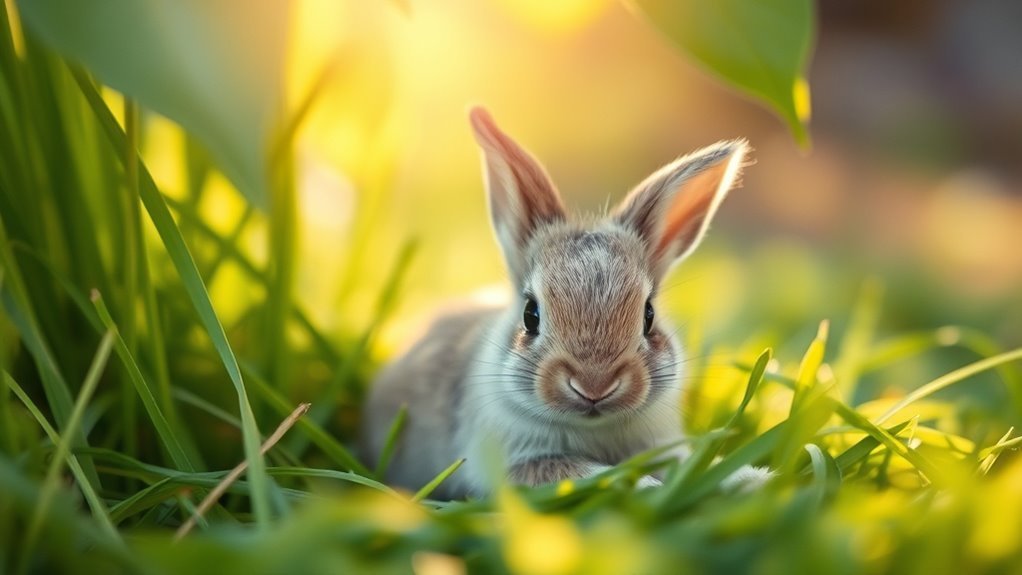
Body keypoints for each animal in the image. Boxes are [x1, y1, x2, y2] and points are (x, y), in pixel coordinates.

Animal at [362, 106, 767, 499]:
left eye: (649, 315)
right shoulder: (521, 462)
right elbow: (584, 472)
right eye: (531, 315)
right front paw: (644, 485)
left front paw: (751, 480)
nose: (594, 385)